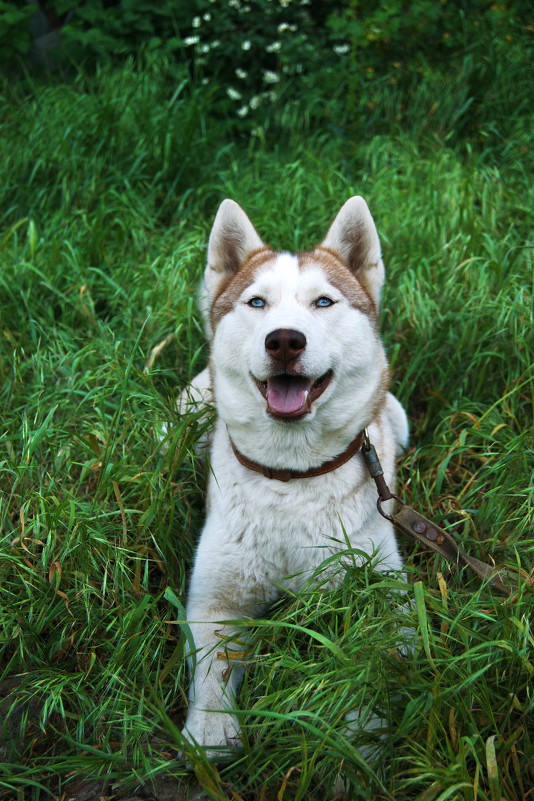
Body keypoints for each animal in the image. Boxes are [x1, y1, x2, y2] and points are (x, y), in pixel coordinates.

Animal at [181, 197, 410, 752]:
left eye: (324, 302)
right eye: (257, 303)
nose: (284, 340)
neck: (293, 477)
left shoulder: (384, 595)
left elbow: (375, 664)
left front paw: (359, 741)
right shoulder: (213, 598)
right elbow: (213, 666)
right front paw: (212, 729)